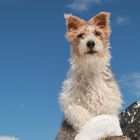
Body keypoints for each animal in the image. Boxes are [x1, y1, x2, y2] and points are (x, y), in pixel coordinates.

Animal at [55, 12, 123, 140]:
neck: (90, 69)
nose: (90, 43)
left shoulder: (108, 103)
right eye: (80, 35)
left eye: (97, 33)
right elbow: (79, 114)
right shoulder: (70, 101)